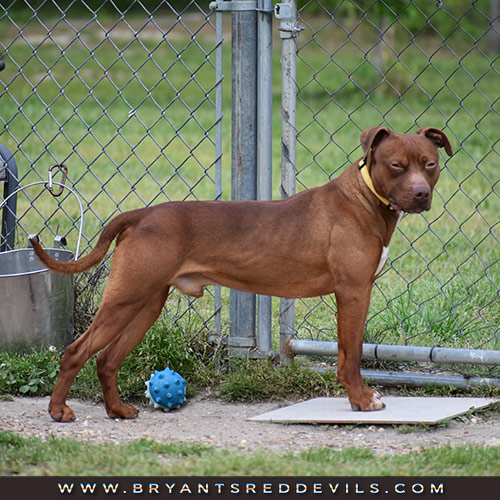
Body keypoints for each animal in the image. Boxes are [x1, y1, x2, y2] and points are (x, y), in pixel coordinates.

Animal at [31, 126, 454, 422]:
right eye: (396, 165)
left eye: (430, 164)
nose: (421, 194)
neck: (365, 198)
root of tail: (143, 214)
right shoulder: (352, 292)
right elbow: (350, 355)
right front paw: (361, 400)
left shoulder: (354, 294)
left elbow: (349, 353)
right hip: (125, 299)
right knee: (77, 351)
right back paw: (58, 410)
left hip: (146, 304)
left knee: (107, 360)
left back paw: (117, 410)